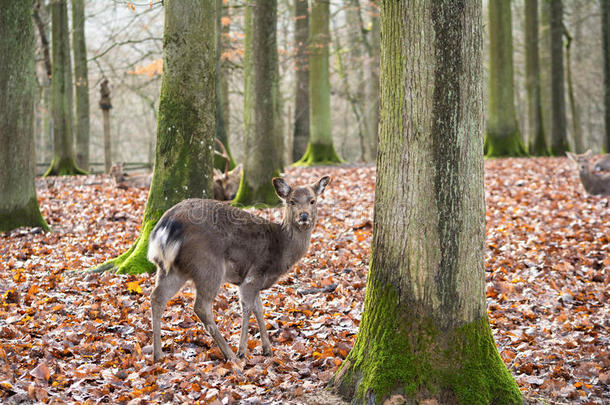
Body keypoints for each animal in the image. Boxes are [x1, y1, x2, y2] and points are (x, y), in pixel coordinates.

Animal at [145, 174, 330, 360]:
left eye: (312, 201)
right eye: (292, 201)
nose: (304, 216)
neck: (282, 249)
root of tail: (166, 225)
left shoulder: (254, 279)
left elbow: (259, 309)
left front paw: (267, 349)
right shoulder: (255, 273)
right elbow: (247, 307)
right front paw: (242, 350)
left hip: (172, 268)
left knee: (157, 297)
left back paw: (158, 354)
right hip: (208, 265)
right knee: (201, 306)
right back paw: (230, 355)